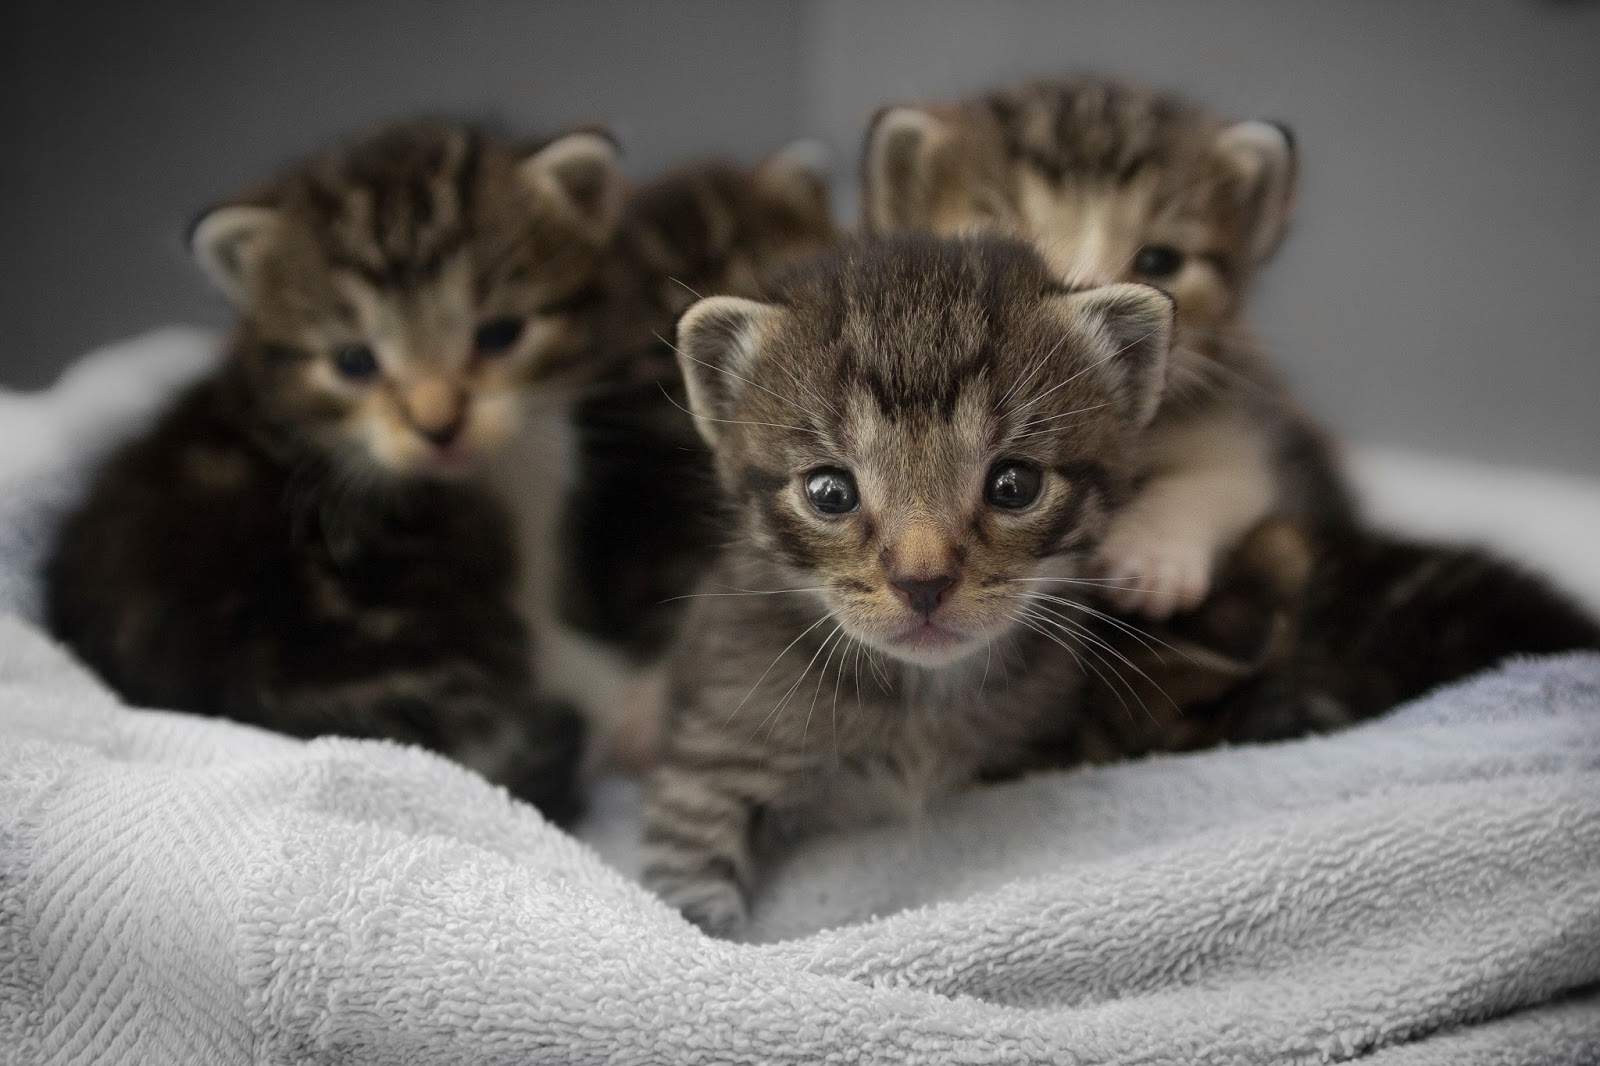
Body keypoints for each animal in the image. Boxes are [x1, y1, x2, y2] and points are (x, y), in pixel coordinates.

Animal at [643, 235, 1184, 928]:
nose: (922, 582)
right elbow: (689, 891)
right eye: (829, 491)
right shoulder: (713, 756)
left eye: (1015, 485)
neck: (919, 702)